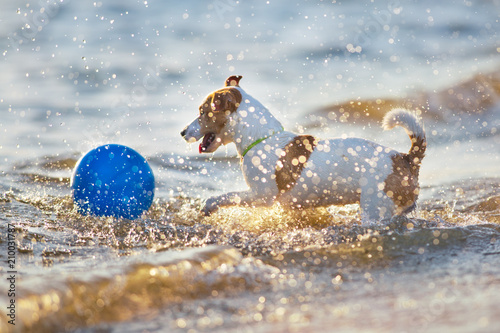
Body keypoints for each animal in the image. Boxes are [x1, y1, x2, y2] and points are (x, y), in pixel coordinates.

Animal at [181, 75, 426, 220]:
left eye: (203, 111)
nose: (183, 132)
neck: (262, 138)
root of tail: (406, 158)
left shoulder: (261, 196)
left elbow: (225, 196)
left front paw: (208, 206)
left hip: (375, 208)